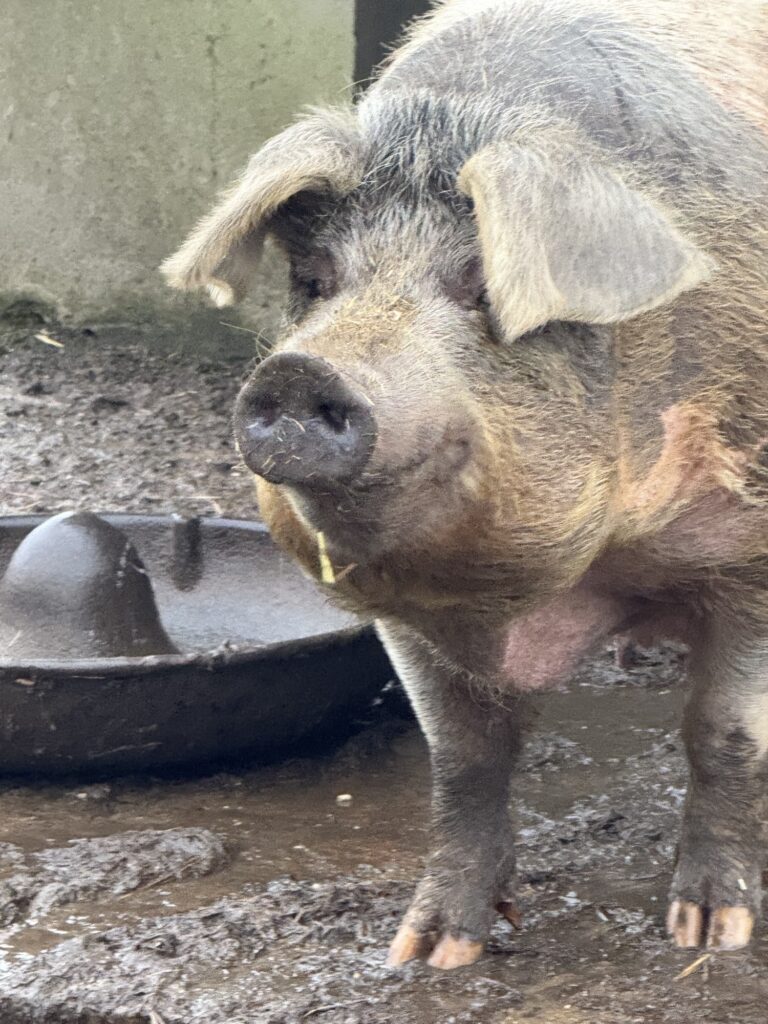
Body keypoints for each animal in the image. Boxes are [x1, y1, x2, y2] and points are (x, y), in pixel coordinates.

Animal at [162, 0, 768, 970]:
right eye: (316, 283)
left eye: (480, 286)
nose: (298, 371)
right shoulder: (405, 613)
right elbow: (461, 760)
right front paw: (427, 953)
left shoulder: (746, 547)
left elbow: (722, 733)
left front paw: (708, 934)